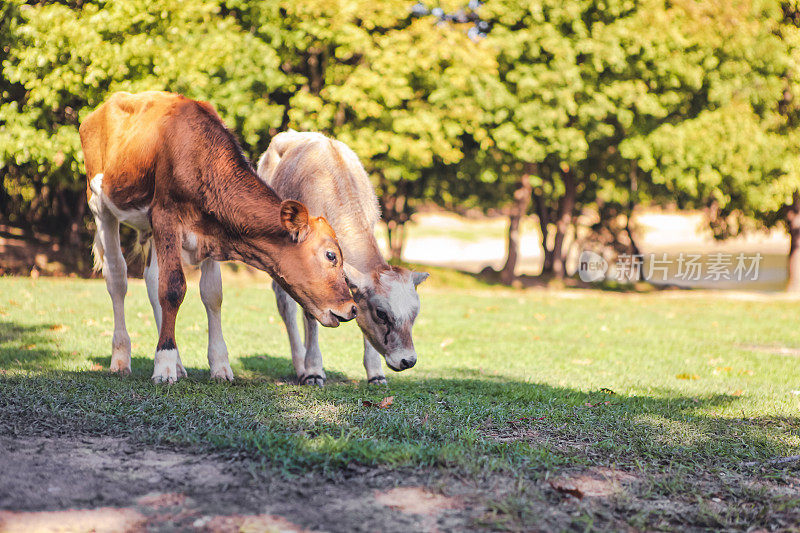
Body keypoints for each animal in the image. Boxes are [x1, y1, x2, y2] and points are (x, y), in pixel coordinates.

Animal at [79, 92, 354, 382]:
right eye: (331, 255)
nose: (352, 308)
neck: (198, 155)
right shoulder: (165, 215)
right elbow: (173, 288)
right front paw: (164, 365)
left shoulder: (210, 232)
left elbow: (212, 294)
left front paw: (219, 365)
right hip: (100, 205)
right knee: (117, 277)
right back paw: (121, 358)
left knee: (151, 279)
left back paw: (178, 364)